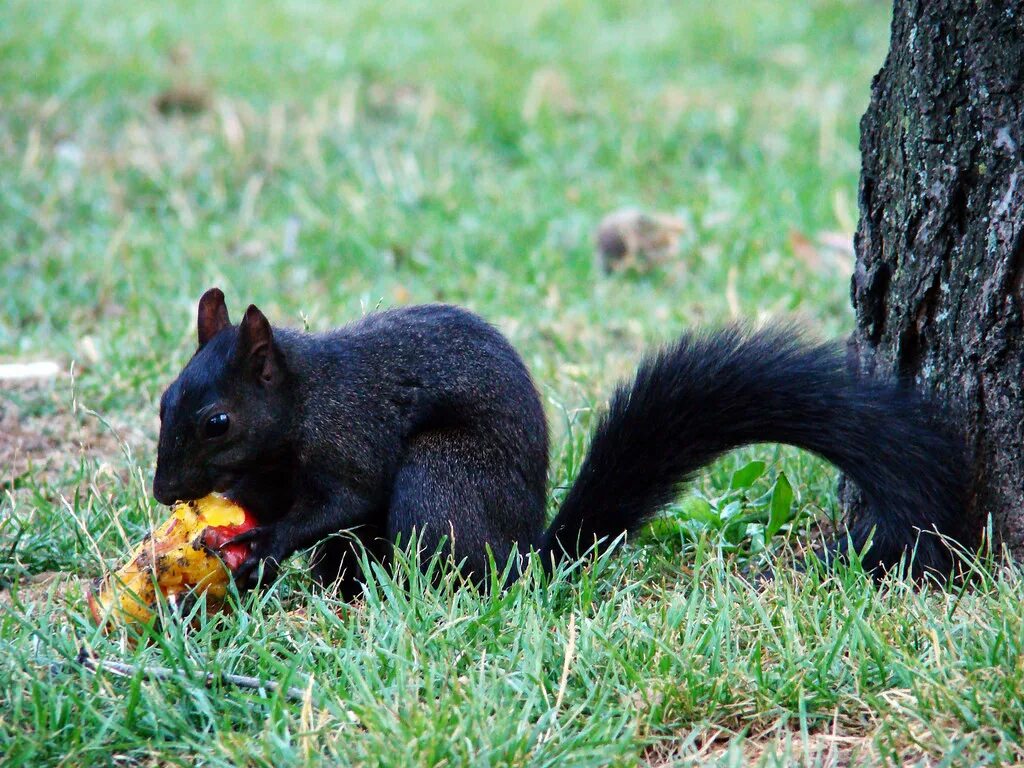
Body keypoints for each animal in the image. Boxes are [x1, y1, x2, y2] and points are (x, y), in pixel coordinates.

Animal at [149, 288, 966, 593]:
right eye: (164, 401)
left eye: (218, 421)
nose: (162, 491)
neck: (298, 407)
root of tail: (527, 554)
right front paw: (237, 543)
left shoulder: (351, 436)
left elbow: (339, 501)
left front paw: (261, 545)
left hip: (440, 479)